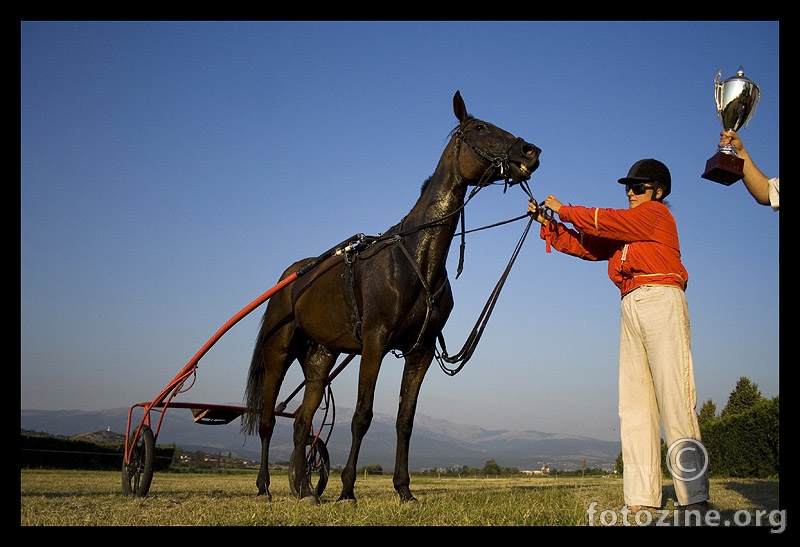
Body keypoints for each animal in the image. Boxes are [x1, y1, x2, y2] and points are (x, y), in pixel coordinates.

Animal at [241, 91, 540, 506]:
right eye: (480, 127)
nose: (531, 152)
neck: (416, 258)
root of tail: (290, 278)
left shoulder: (421, 351)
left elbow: (405, 421)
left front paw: (404, 489)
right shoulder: (375, 342)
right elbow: (362, 416)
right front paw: (348, 490)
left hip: (320, 358)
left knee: (302, 421)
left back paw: (304, 489)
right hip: (279, 352)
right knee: (269, 420)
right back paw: (265, 487)